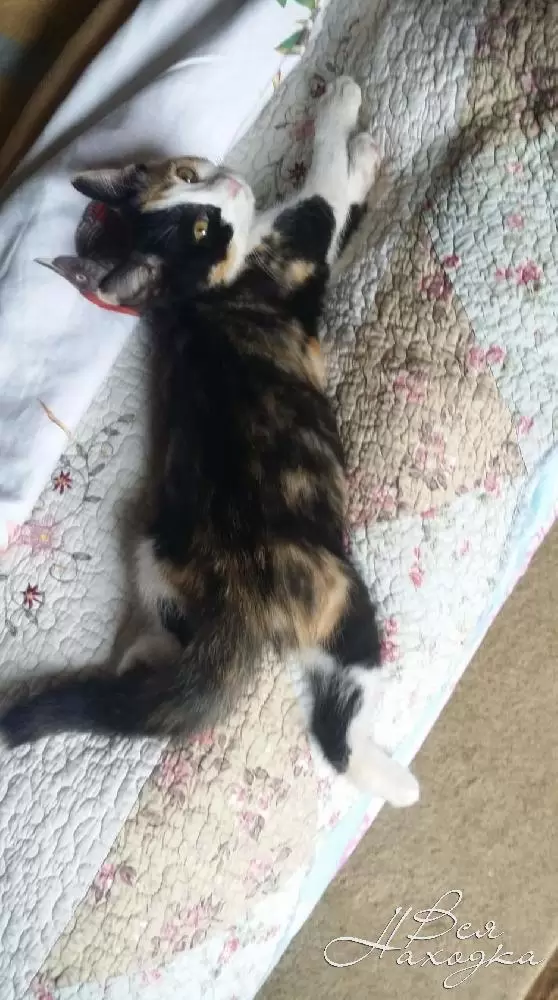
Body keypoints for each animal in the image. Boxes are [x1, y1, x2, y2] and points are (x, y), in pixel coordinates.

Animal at [0, 78, 419, 808]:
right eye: (200, 228)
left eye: (190, 178)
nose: (230, 185)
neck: (200, 293)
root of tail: (235, 608)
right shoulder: (297, 241)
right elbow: (324, 184)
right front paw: (343, 112)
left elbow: (344, 200)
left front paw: (365, 155)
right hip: (340, 592)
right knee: (335, 724)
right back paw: (394, 781)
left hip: (154, 554)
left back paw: (141, 657)